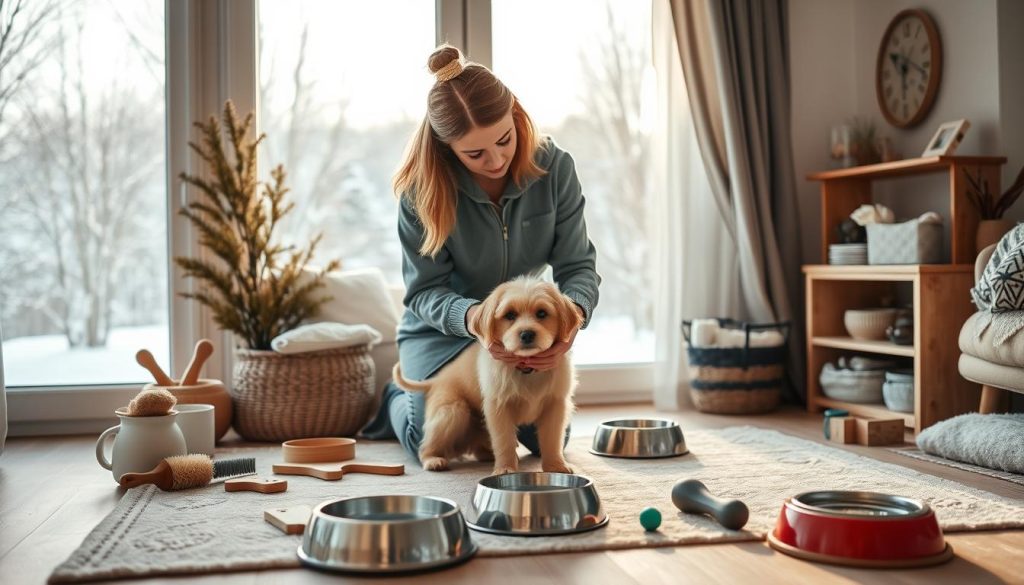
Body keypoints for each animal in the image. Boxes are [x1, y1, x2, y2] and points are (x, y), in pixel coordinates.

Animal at [393, 276, 585, 475]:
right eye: (510, 315)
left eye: (541, 313)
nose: (526, 334)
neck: (526, 369)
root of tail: (437, 379)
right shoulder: (498, 408)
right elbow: (504, 441)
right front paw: (506, 469)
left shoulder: (556, 405)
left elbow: (552, 439)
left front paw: (555, 466)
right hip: (452, 412)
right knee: (426, 445)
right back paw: (433, 459)